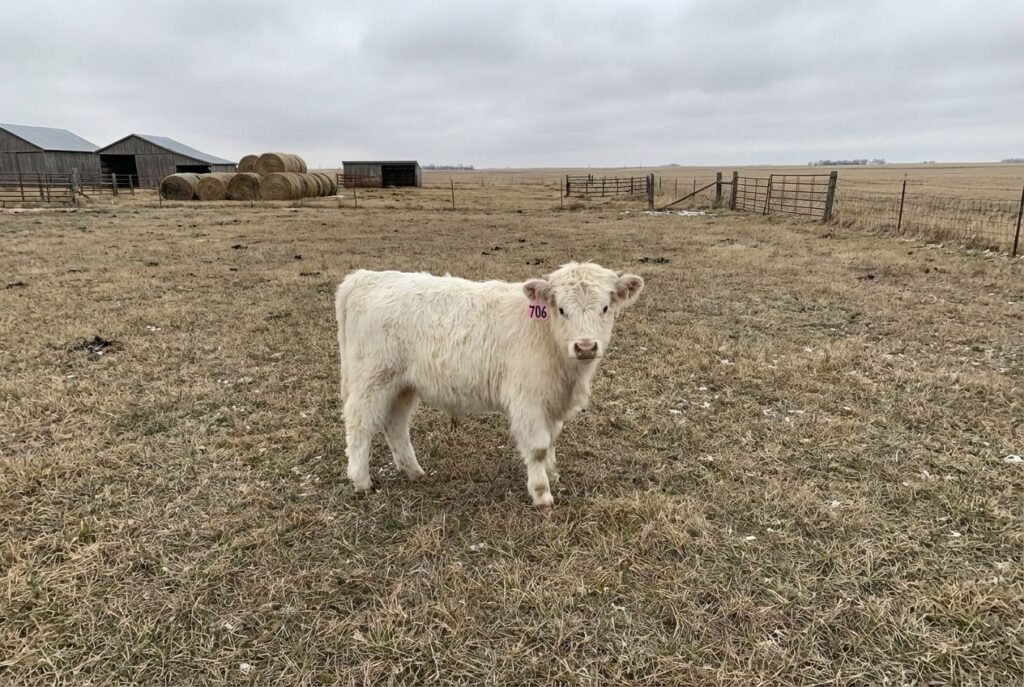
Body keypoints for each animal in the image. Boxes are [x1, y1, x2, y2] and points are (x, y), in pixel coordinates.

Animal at [334, 262, 644, 510]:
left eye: (605, 307)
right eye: (562, 309)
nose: (585, 346)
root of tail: (364, 277)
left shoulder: (552, 401)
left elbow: (552, 440)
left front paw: (553, 474)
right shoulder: (528, 401)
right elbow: (538, 447)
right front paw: (542, 494)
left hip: (403, 385)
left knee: (395, 426)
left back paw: (414, 472)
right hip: (371, 380)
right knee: (360, 427)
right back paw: (362, 482)